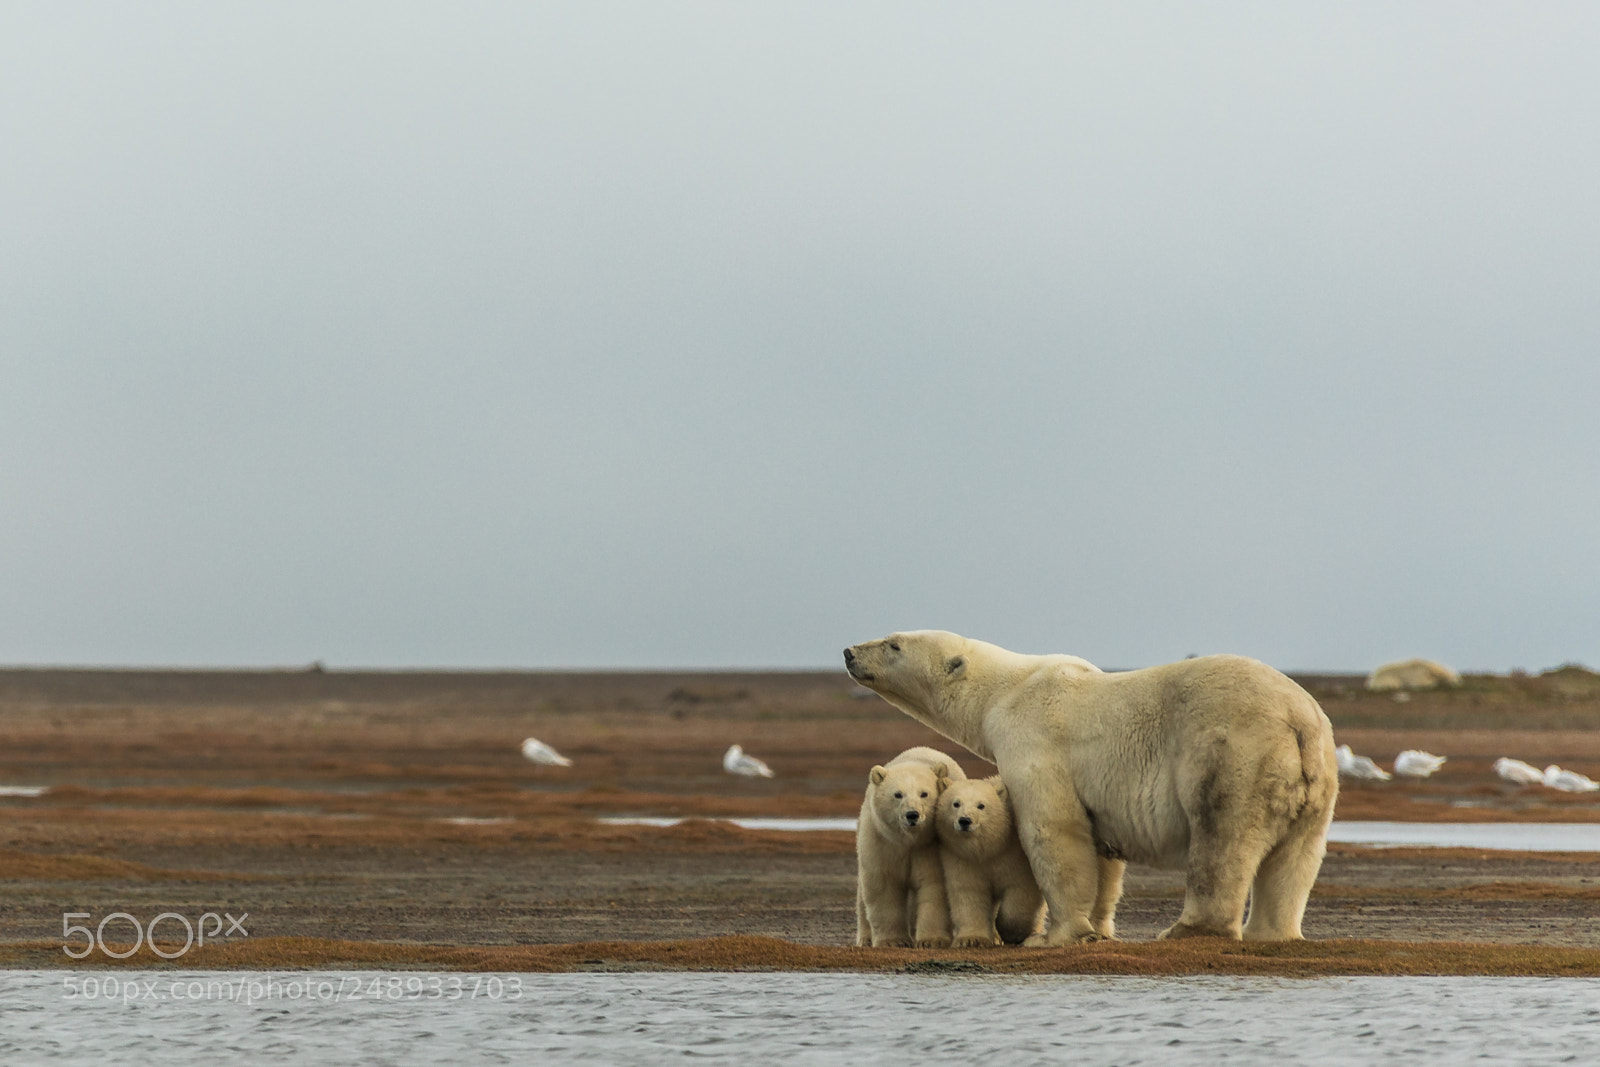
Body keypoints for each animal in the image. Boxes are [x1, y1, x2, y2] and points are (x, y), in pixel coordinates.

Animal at [855, 745, 967, 948]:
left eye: (924, 793)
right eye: (898, 794)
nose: (912, 814)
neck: (909, 840)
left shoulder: (929, 847)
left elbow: (934, 886)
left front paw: (932, 941)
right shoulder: (881, 841)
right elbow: (883, 885)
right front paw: (893, 941)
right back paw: (866, 938)